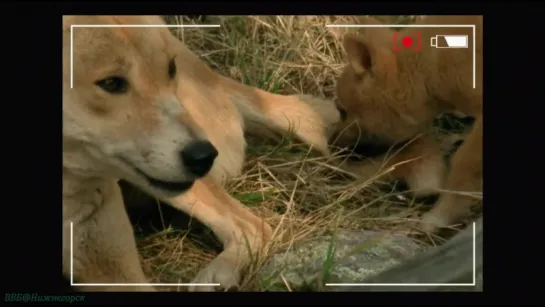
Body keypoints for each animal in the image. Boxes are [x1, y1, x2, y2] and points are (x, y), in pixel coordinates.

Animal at [61, 15, 338, 294]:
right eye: (111, 83)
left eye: (170, 69)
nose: (203, 156)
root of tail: (213, 76)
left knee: (251, 225)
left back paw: (218, 274)